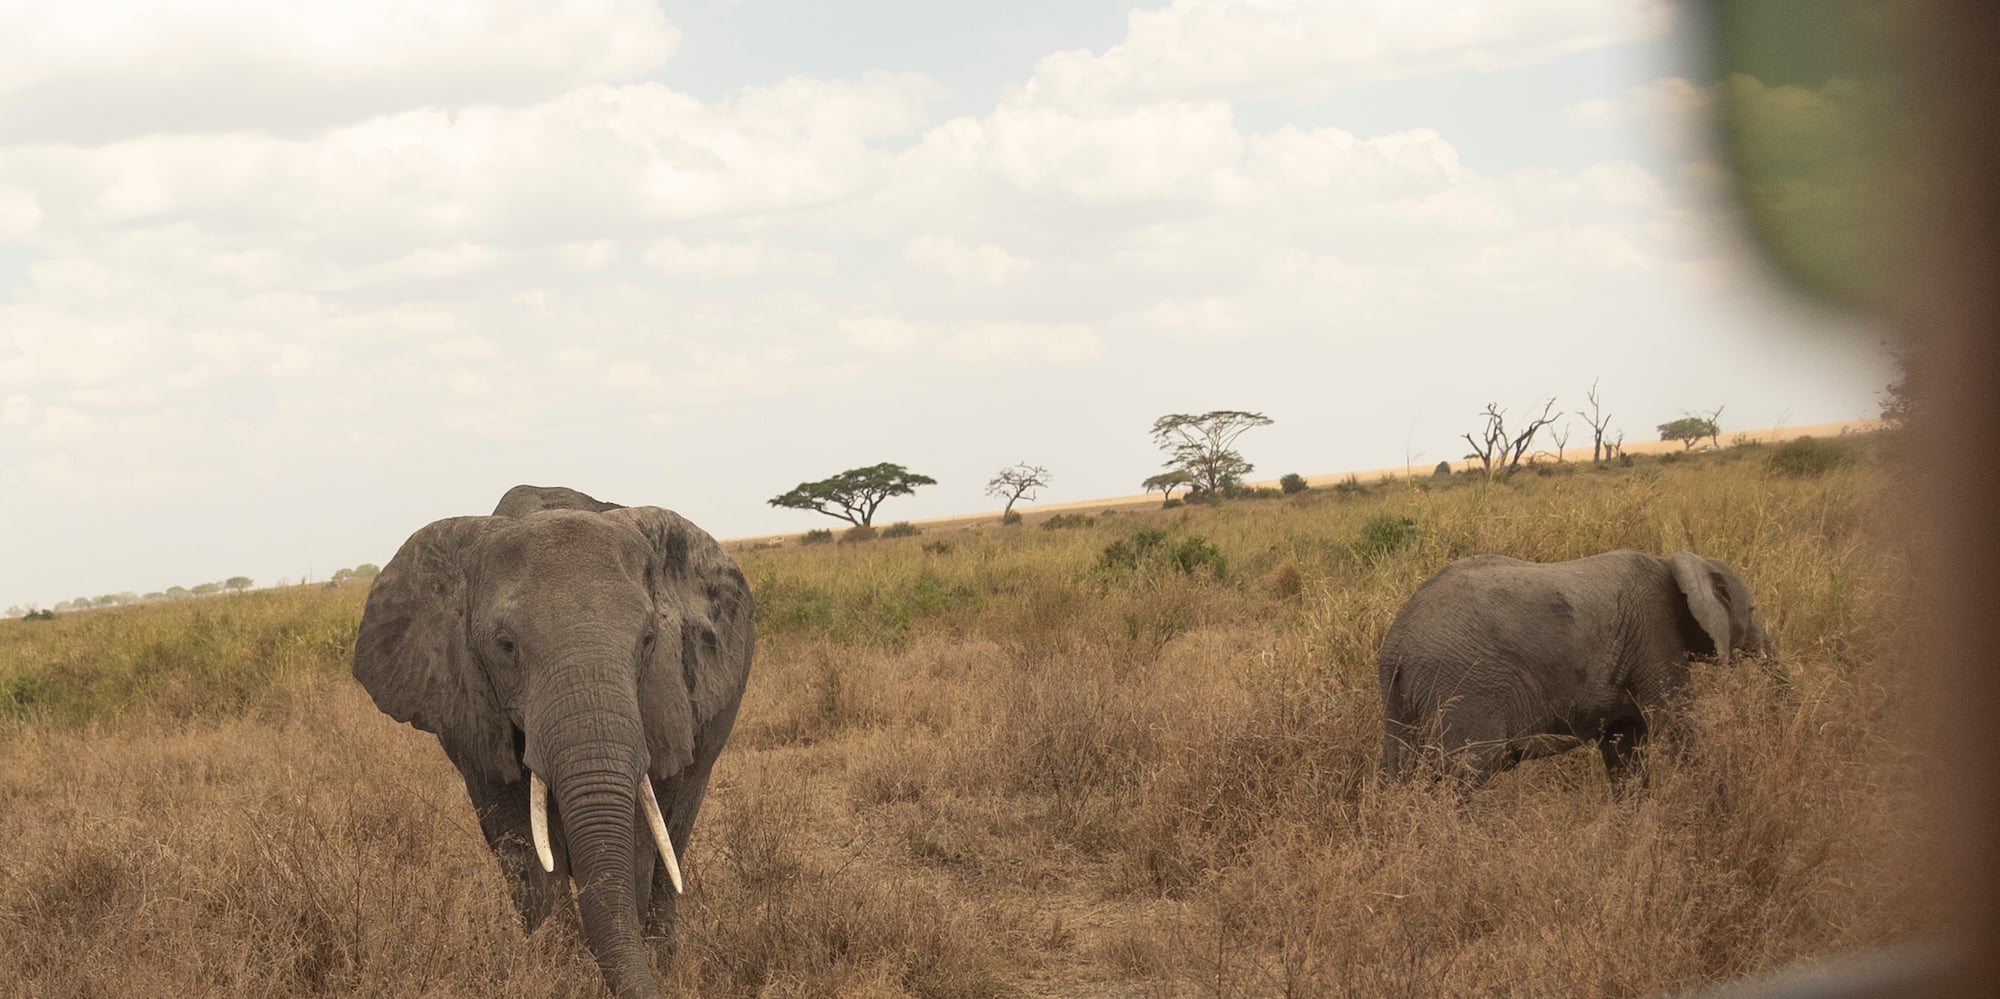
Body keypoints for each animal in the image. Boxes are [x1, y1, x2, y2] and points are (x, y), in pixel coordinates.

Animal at [352, 485, 754, 999]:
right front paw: (558, 975)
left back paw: (663, 960)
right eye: (505, 645)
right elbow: (523, 847)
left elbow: (638, 841)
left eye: (648, 638)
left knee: (675, 839)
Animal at [1378, 549, 1767, 790]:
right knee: (1467, 777)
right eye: (1752, 609)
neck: (1670, 562)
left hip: (1404, 700)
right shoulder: (1654, 636)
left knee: (1402, 773)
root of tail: (1395, 644)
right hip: (1464, 688)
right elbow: (1677, 726)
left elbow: (1624, 744)